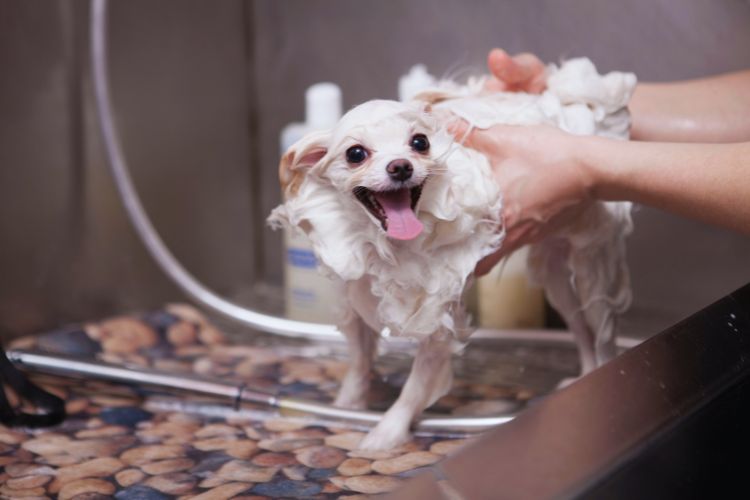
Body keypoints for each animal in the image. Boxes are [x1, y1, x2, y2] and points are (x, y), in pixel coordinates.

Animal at [268, 58, 636, 450]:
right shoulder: (355, 301)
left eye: (420, 142)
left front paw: (385, 434)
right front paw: (345, 406)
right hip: (556, 280)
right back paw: (585, 374)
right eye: (355, 154)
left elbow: (414, 389)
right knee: (580, 331)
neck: (385, 246)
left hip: (591, 269)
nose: (401, 166)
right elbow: (358, 364)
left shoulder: (437, 321)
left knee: (602, 334)